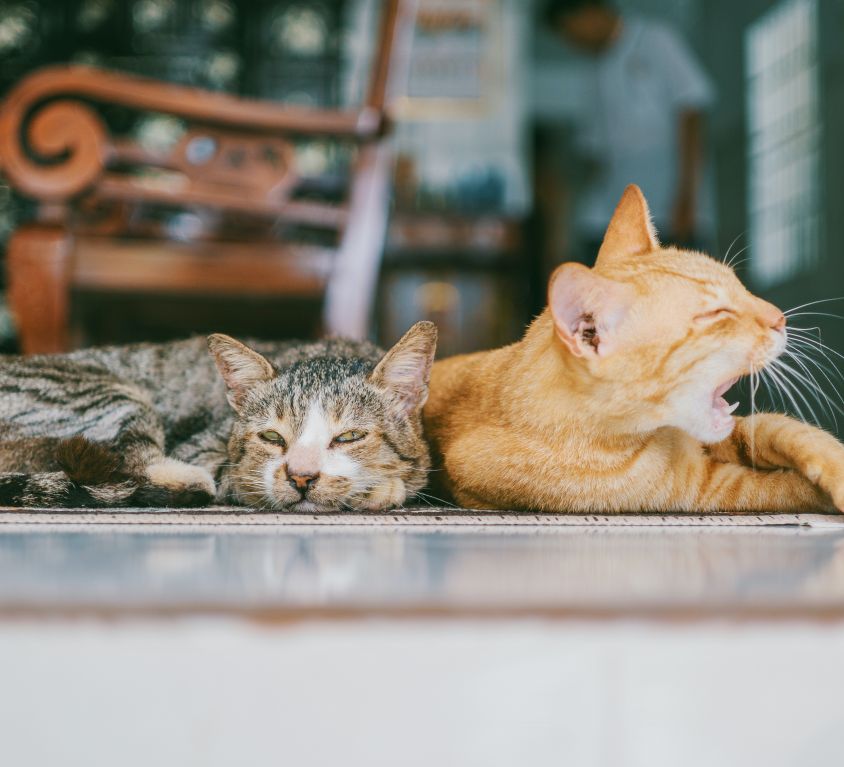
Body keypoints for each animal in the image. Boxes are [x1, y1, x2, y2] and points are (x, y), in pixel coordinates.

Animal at [0, 320, 436, 512]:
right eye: (272, 438)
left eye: (348, 437)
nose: (301, 477)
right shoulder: (207, 450)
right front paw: (379, 489)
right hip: (113, 393)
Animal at [426, 183, 844, 512]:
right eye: (716, 314)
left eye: (741, 288)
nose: (779, 317)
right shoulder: (705, 489)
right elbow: (787, 486)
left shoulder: (737, 435)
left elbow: (785, 429)